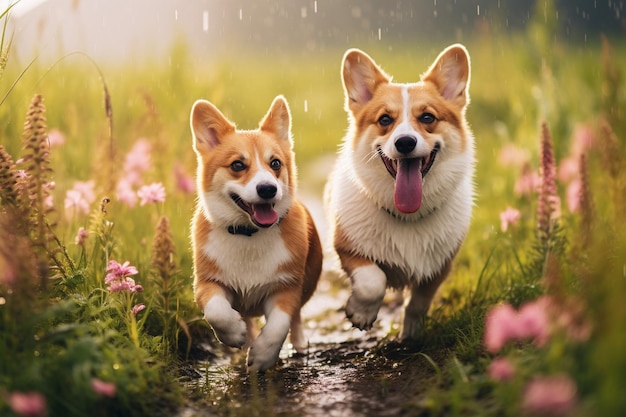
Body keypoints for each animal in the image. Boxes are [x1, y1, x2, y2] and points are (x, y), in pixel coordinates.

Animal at [190, 95, 322, 370]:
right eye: (237, 165)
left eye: (275, 163)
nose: (268, 189)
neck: (248, 233)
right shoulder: (207, 283)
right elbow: (217, 312)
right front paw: (235, 334)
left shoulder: (286, 287)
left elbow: (279, 325)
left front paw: (262, 357)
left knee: (296, 317)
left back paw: (300, 344)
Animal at [326, 44, 472, 340]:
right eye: (385, 120)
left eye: (427, 117)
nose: (405, 142)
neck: (408, 215)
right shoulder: (347, 247)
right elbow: (373, 280)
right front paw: (361, 314)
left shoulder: (438, 268)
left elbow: (418, 303)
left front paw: (411, 335)